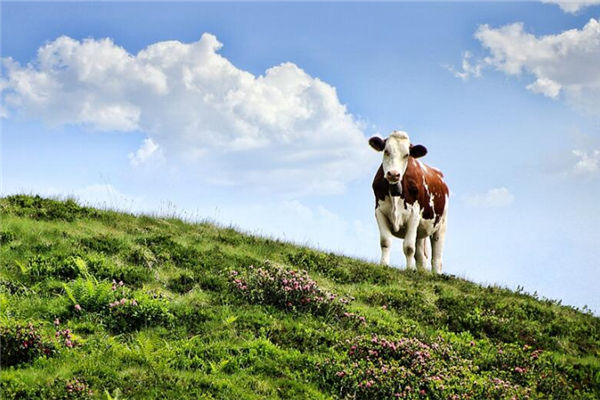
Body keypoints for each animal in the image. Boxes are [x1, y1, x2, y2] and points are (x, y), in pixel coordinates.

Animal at [368, 130, 448, 274]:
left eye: (407, 155)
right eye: (386, 151)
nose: (393, 174)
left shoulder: (414, 215)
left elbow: (409, 247)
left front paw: (410, 269)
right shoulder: (379, 211)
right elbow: (385, 241)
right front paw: (384, 264)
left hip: (441, 225)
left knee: (437, 258)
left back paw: (436, 274)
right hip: (421, 232)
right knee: (421, 256)